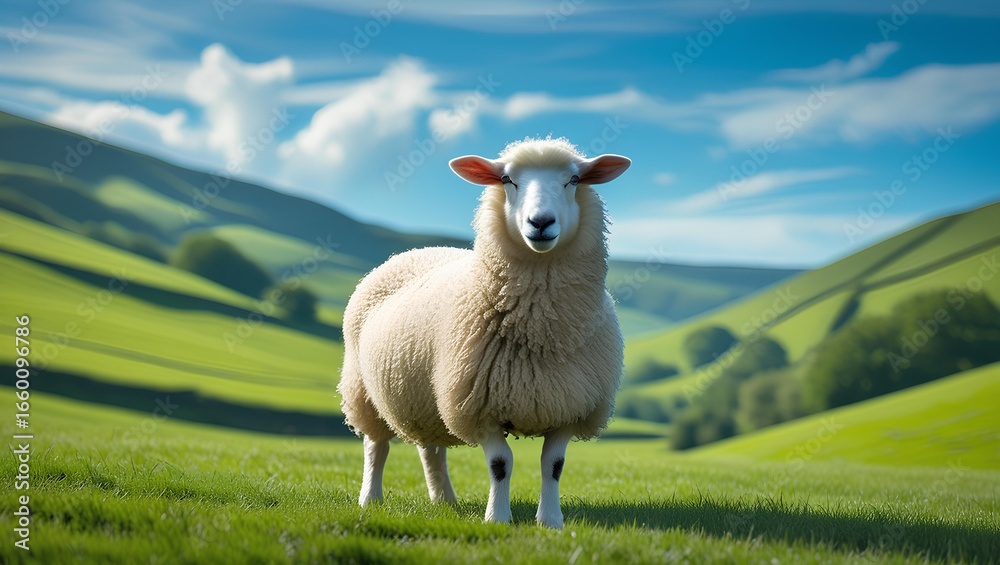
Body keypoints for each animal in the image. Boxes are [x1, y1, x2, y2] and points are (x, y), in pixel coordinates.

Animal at [337, 136, 630, 528]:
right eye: (507, 180)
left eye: (573, 180)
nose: (540, 222)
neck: (540, 330)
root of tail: (414, 250)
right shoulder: (480, 404)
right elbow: (500, 464)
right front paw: (498, 519)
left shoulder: (568, 406)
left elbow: (553, 466)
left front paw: (550, 521)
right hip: (363, 391)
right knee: (375, 446)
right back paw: (370, 498)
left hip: (429, 398)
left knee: (431, 449)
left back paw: (444, 500)